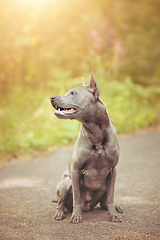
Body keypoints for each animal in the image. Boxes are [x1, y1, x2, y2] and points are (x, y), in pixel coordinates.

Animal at [50, 72, 122, 223]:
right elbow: (77, 197)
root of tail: (88, 207)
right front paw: (76, 216)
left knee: (104, 202)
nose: (52, 97)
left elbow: (111, 196)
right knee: (60, 202)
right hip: (66, 182)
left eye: (72, 93)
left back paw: (114, 208)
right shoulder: (76, 170)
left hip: (104, 185)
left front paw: (113, 214)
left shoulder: (113, 170)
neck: (96, 131)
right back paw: (60, 213)